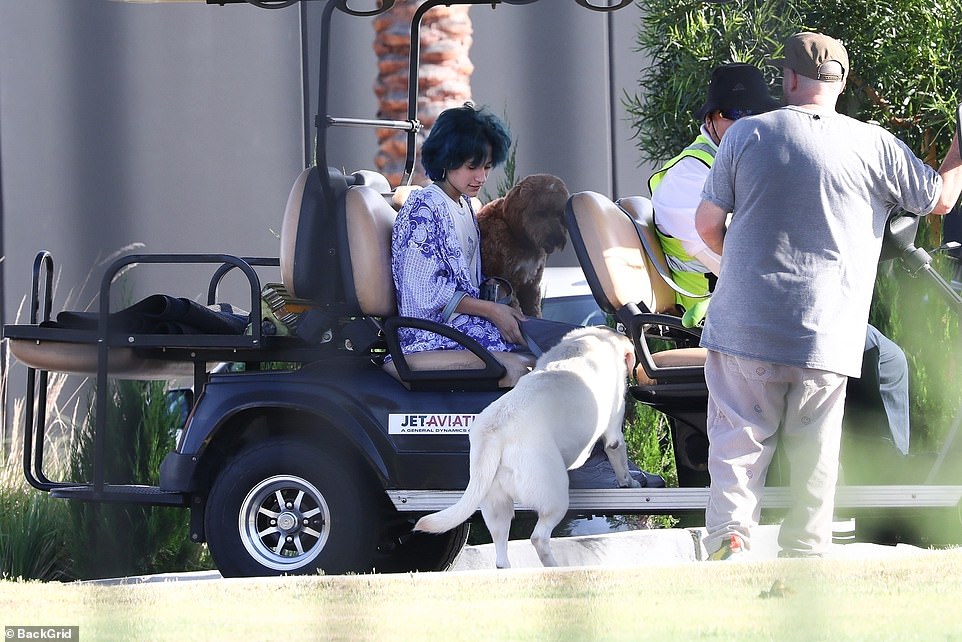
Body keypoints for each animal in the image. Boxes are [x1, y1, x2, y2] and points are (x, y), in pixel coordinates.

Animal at [410, 324, 636, 564]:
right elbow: (619, 460)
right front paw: (630, 482)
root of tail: (495, 433)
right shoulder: (614, 434)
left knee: (501, 556)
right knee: (539, 538)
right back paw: (554, 566)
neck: (588, 341)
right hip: (554, 498)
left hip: (495, 505)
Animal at [476, 174, 568, 316]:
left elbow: (534, 310)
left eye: (559, 213)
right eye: (540, 212)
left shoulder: (531, 285)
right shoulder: (507, 284)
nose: (556, 238)